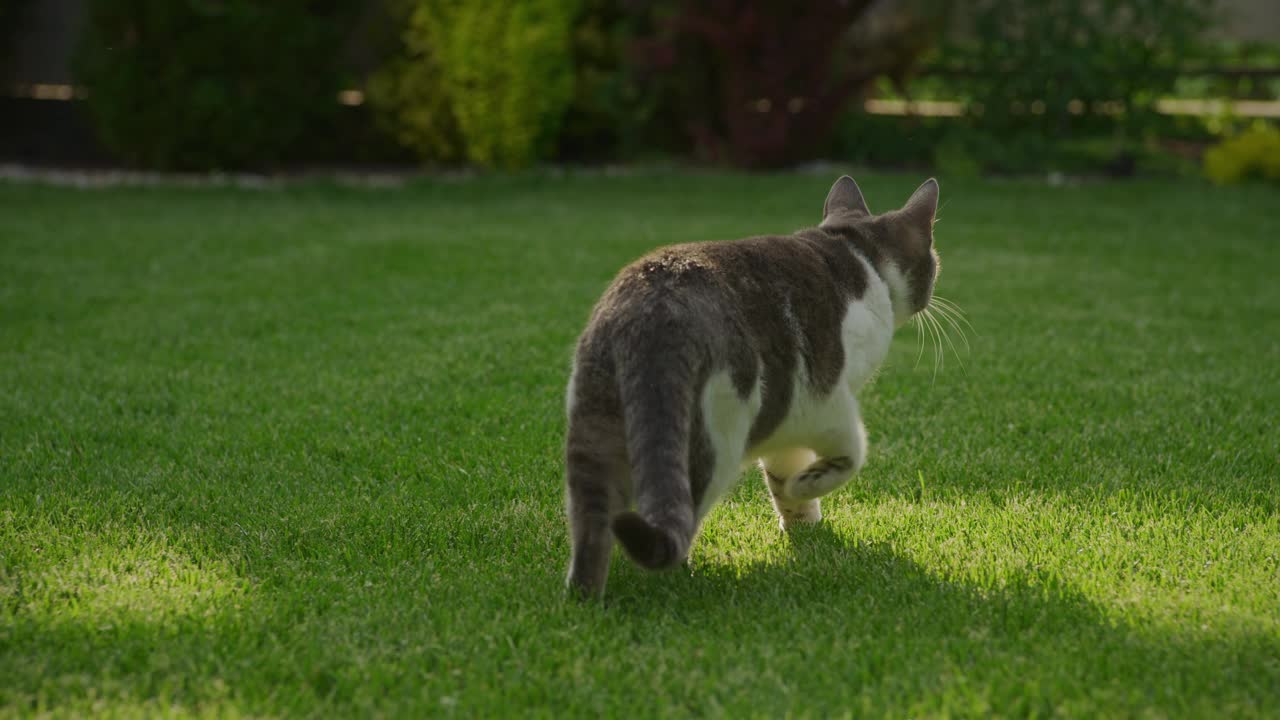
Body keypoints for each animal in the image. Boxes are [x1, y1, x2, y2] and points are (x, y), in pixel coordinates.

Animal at [563, 174, 942, 594]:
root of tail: (650, 316)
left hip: (593, 434)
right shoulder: (824, 401)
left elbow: (782, 477)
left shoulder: (785, 420)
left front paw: (803, 523)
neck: (857, 252)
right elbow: (851, 455)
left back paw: (585, 595)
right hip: (714, 444)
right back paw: (683, 577)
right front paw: (807, 485)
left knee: (592, 529)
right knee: (679, 518)